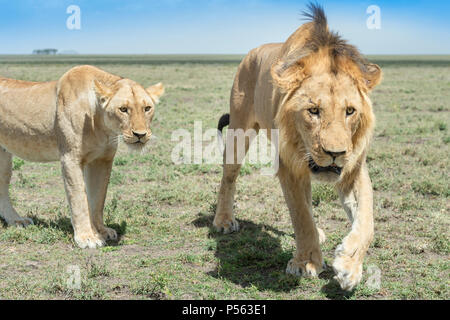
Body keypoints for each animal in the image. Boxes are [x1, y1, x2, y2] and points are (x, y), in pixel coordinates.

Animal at [0, 65, 164, 249]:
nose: (140, 134)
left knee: (2, 186)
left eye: (147, 108)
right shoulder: (70, 158)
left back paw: (16, 220)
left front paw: (101, 231)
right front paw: (87, 237)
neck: (101, 124)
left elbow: (98, 199)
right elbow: (79, 199)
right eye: (123, 109)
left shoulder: (102, 160)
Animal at [214, 3, 380, 292]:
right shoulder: (288, 165)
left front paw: (350, 266)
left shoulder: (354, 166)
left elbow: (366, 219)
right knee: (229, 177)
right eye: (313, 111)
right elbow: (301, 216)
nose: (335, 154)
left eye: (350, 111)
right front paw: (306, 263)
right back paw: (223, 221)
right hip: (238, 131)